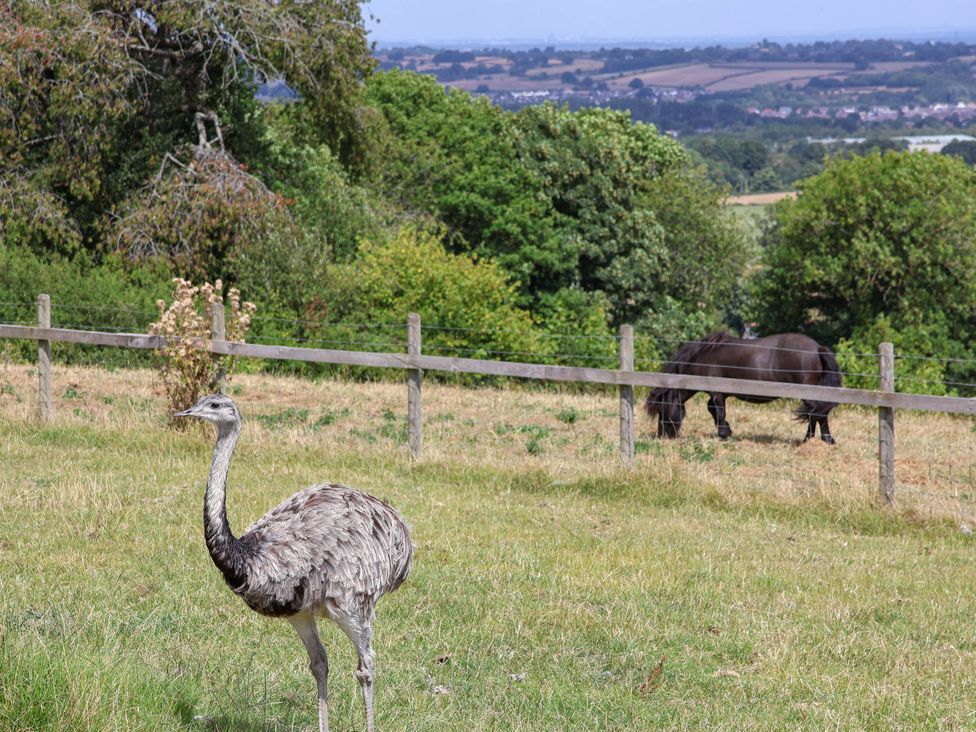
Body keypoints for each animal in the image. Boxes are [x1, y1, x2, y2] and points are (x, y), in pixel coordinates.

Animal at [644, 332, 841, 443]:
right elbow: (713, 410)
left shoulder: (716, 393)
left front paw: (723, 434)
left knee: (819, 414)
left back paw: (823, 439)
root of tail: (817, 348)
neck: (704, 356)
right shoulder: (719, 394)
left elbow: (719, 411)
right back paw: (811, 439)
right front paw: (727, 431)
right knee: (815, 414)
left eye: (661, 409)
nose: (662, 436)